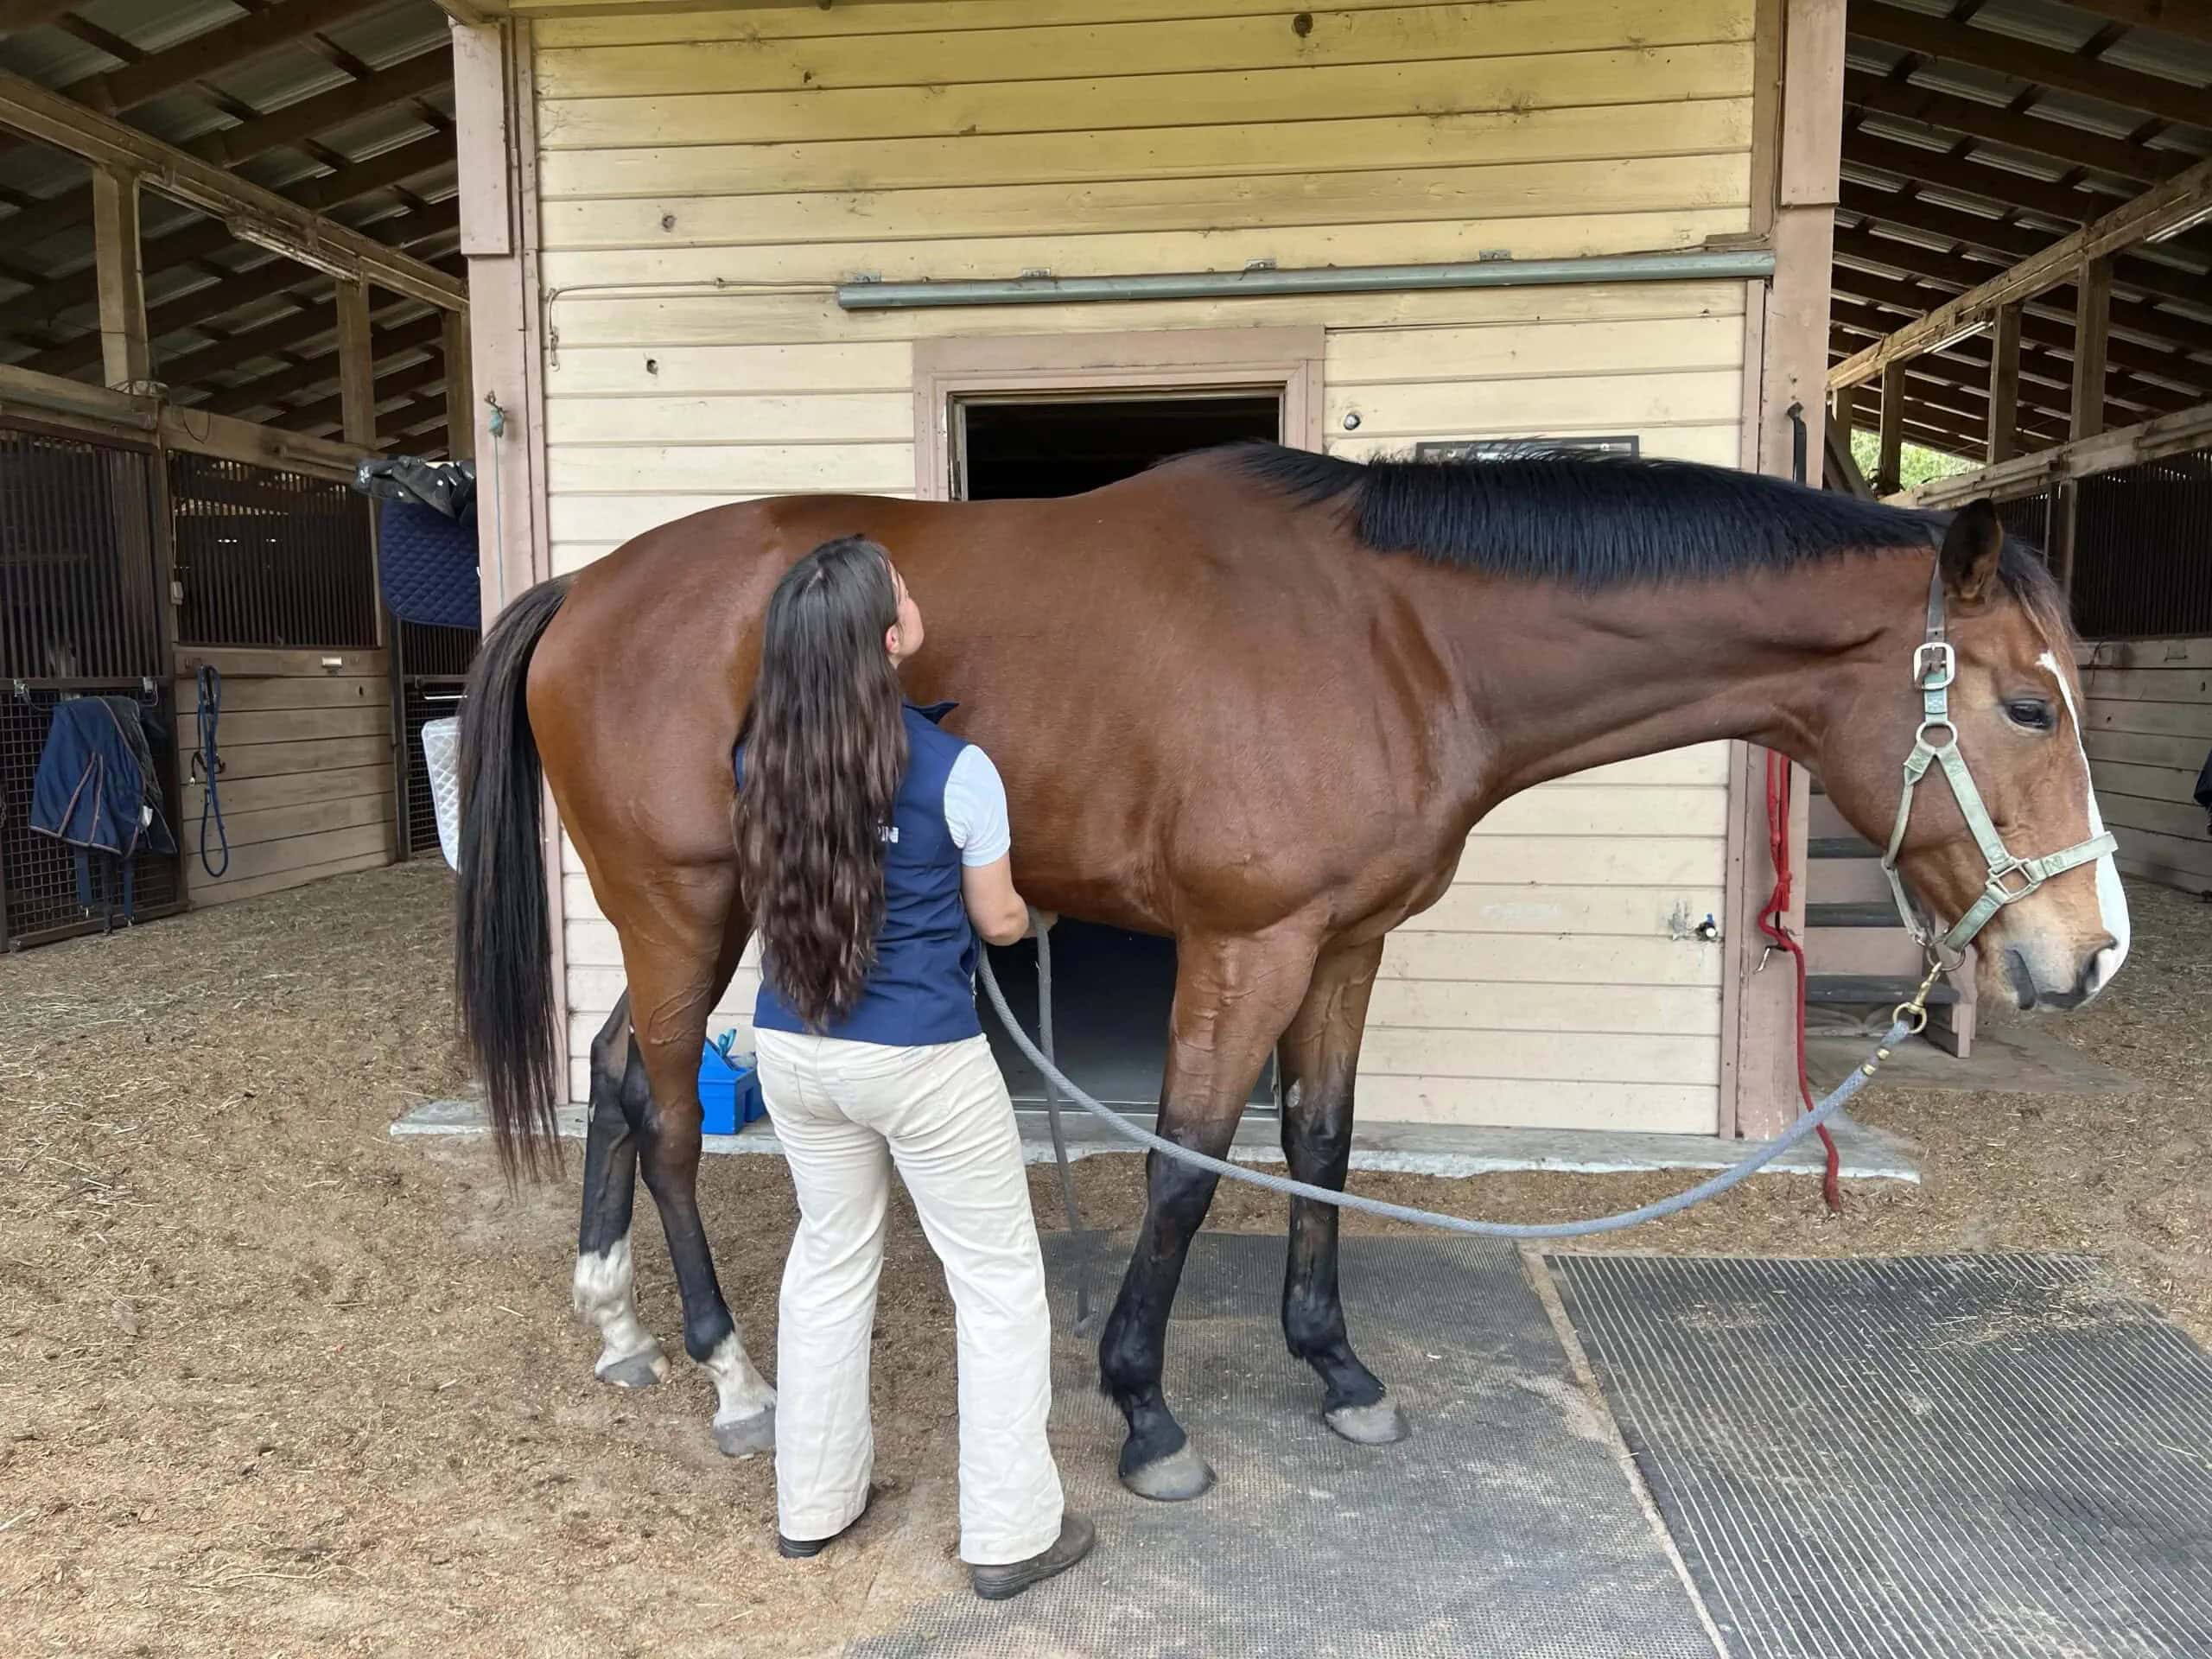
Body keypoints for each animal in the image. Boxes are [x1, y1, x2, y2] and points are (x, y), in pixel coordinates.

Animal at [452, 442, 2129, 1501]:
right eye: (2029, 706)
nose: (2087, 953)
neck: (1394, 635)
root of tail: (588, 591)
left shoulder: (1346, 942)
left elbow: (1318, 1141)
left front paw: (1338, 1370)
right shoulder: (1242, 943)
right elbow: (1187, 1165)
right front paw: (1143, 1409)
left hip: (706, 911)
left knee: (615, 1072)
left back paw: (615, 1326)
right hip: (683, 904)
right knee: (671, 1112)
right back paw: (733, 1374)